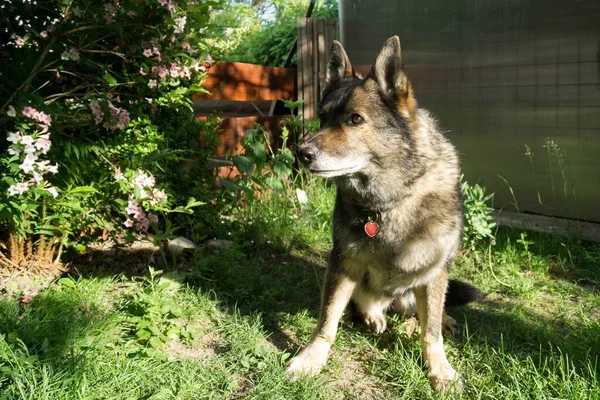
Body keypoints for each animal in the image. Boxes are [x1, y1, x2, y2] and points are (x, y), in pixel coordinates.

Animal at [288, 36, 482, 392]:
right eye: (323, 117)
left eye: (355, 119)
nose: (302, 153)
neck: (389, 200)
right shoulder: (343, 263)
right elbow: (327, 319)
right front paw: (311, 359)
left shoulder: (433, 272)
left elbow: (431, 331)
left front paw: (440, 369)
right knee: (367, 305)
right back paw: (375, 316)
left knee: (422, 314)